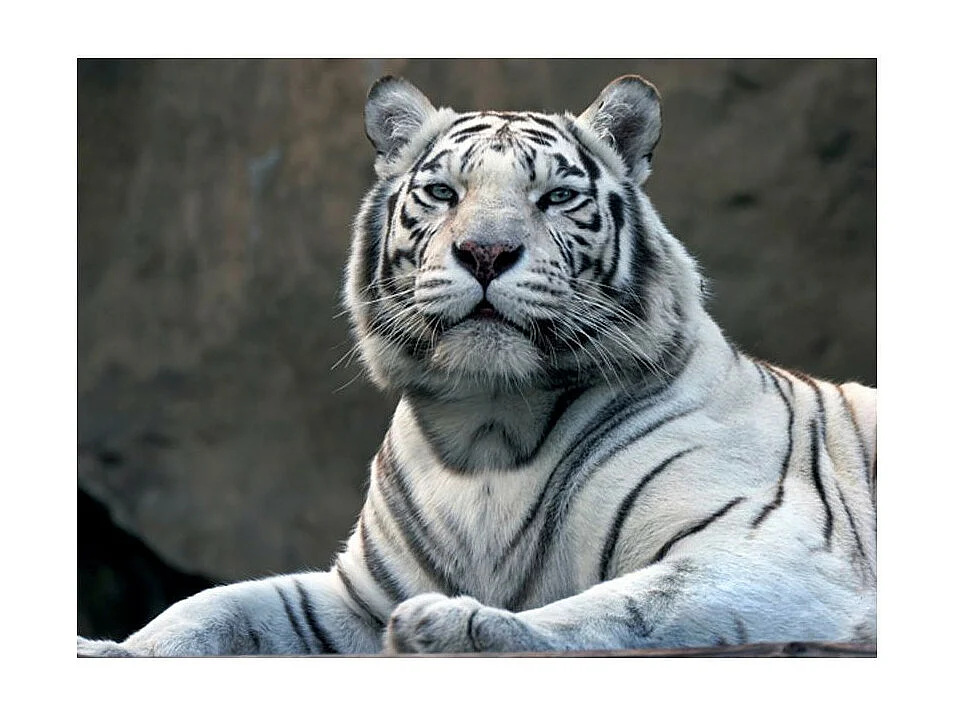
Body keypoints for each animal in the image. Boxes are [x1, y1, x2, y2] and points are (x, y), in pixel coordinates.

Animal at [77, 74, 876, 656]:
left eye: (556, 196)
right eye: (442, 192)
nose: (486, 252)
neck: (487, 427)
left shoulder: (773, 552)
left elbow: (624, 608)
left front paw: (456, 625)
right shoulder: (356, 597)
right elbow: (218, 605)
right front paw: (115, 650)